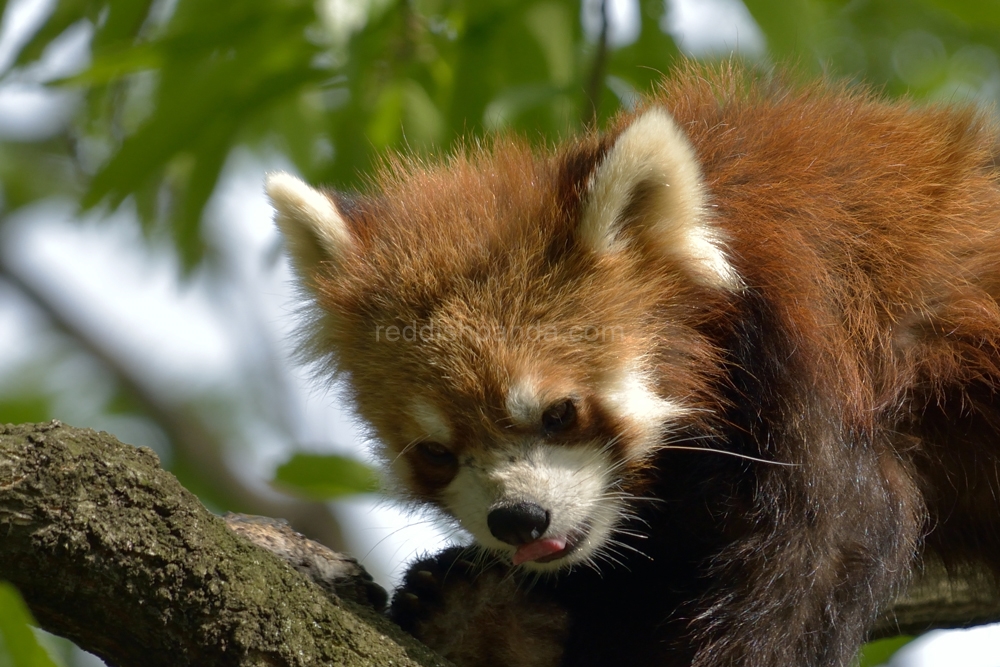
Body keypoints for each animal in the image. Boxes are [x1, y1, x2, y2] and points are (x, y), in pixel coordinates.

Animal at [268, 60, 1000, 664]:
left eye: (559, 413)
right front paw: (492, 621)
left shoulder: (821, 350)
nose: (518, 519)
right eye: (436, 452)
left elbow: (818, 553)